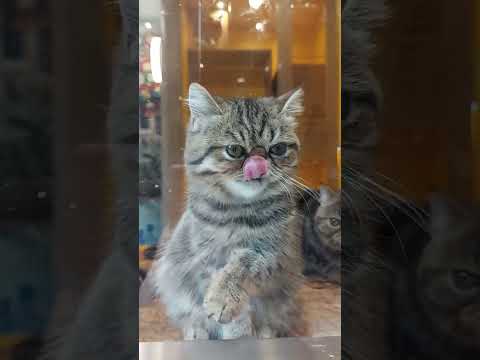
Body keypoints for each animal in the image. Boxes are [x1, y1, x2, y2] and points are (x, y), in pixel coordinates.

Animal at [152, 82, 304, 340]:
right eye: (234, 150)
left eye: (278, 149)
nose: (260, 165)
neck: (239, 211)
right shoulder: (205, 257)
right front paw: (230, 327)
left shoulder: (273, 254)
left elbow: (242, 264)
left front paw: (226, 306)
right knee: (188, 315)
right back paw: (197, 332)